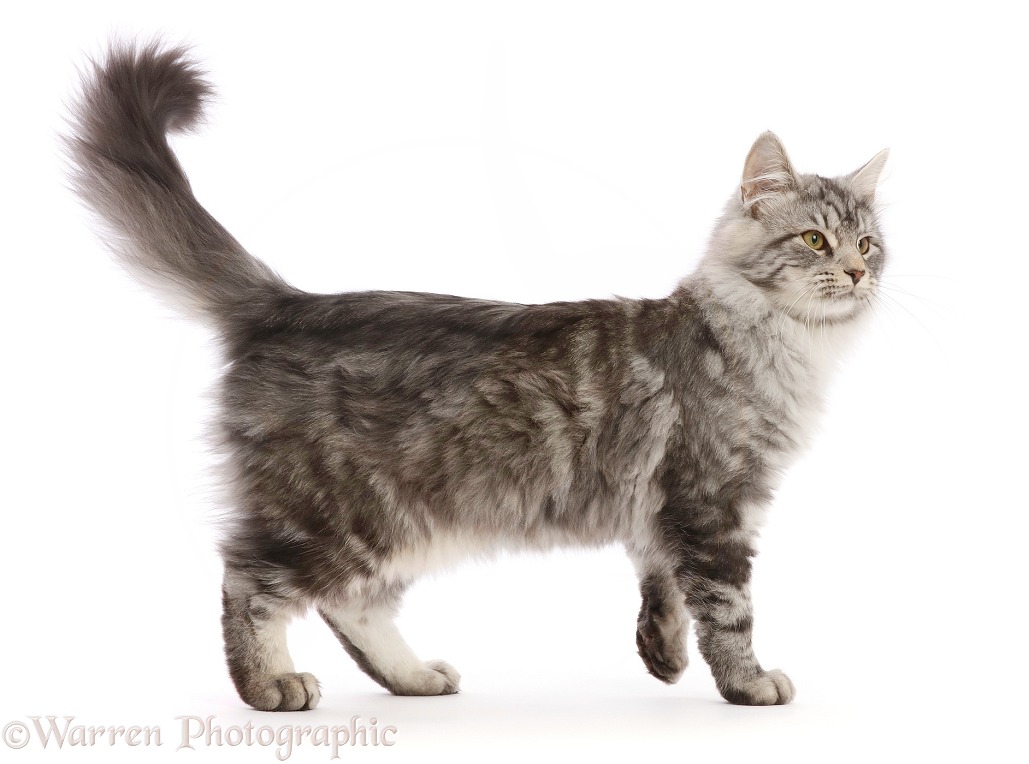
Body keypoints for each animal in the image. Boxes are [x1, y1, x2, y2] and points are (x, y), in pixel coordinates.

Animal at [66, 41, 884, 712]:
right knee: (249, 581)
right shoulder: (715, 500)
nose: (855, 273)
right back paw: (269, 684)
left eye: (870, 244)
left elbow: (661, 585)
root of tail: (288, 303)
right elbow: (727, 608)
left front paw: (662, 654)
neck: (782, 343)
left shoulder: (664, 505)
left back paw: (413, 678)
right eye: (814, 240)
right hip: (336, 513)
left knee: (350, 606)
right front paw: (748, 683)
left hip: (402, 524)